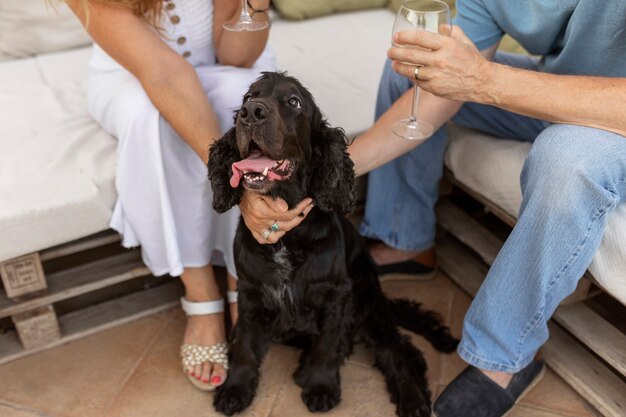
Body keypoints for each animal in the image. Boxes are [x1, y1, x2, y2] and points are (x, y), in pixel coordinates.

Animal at [207, 72, 456, 416]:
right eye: (247, 97)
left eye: (294, 101)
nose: (251, 113)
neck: (287, 240)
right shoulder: (250, 291)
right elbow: (245, 344)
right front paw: (235, 389)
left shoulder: (335, 295)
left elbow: (326, 345)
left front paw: (321, 386)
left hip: (367, 303)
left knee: (398, 350)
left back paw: (413, 400)